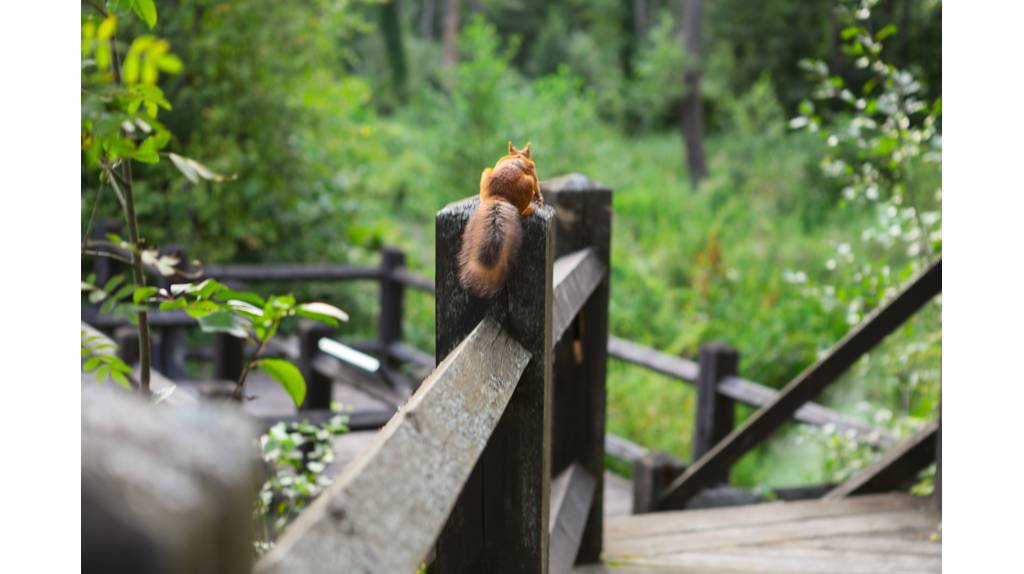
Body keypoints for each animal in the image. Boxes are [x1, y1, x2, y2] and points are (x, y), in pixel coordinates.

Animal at [460, 141, 548, 296]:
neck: (518, 155)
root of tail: (499, 195)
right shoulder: (534, 173)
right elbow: (538, 187)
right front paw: (539, 200)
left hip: (486, 173)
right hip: (527, 184)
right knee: (521, 209)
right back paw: (528, 210)